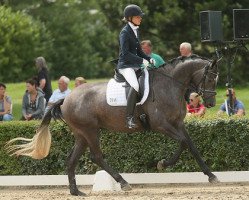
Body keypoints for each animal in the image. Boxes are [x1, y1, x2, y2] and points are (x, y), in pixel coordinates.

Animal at [6, 55, 219, 195]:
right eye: (210, 78)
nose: (210, 103)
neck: (170, 85)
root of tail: (67, 98)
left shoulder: (178, 124)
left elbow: (191, 145)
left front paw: (211, 176)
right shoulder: (162, 125)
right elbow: (182, 143)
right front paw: (163, 163)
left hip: (81, 134)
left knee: (71, 160)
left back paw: (76, 192)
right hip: (90, 131)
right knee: (96, 156)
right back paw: (123, 183)